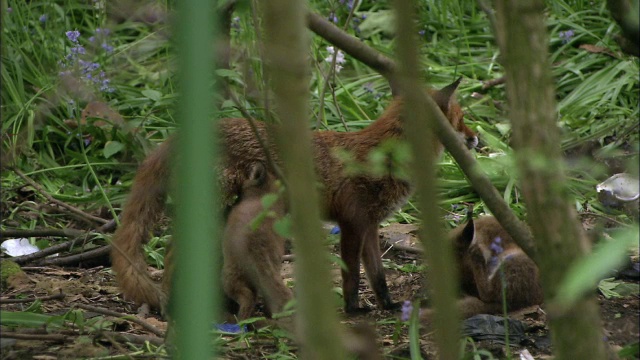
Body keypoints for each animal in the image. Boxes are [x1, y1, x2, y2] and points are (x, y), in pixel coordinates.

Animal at [112, 78, 478, 312]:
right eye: (460, 119)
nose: (476, 138)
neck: (384, 155)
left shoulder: (371, 225)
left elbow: (378, 275)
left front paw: (388, 305)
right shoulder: (352, 222)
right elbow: (351, 275)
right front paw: (353, 309)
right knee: (172, 255)